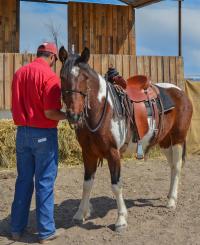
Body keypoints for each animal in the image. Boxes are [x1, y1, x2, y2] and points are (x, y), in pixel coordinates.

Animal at [58, 46, 193, 232]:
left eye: (84, 78)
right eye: (62, 77)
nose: (73, 115)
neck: (103, 109)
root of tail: (179, 91)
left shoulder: (113, 153)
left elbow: (116, 185)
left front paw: (121, 220)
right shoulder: (88, 153)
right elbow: (87, 183)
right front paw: (80, 214)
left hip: (178, 139)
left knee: (178, 166)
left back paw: (171, 201)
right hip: (165, 142)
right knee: (172, 167)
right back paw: (169, 196)